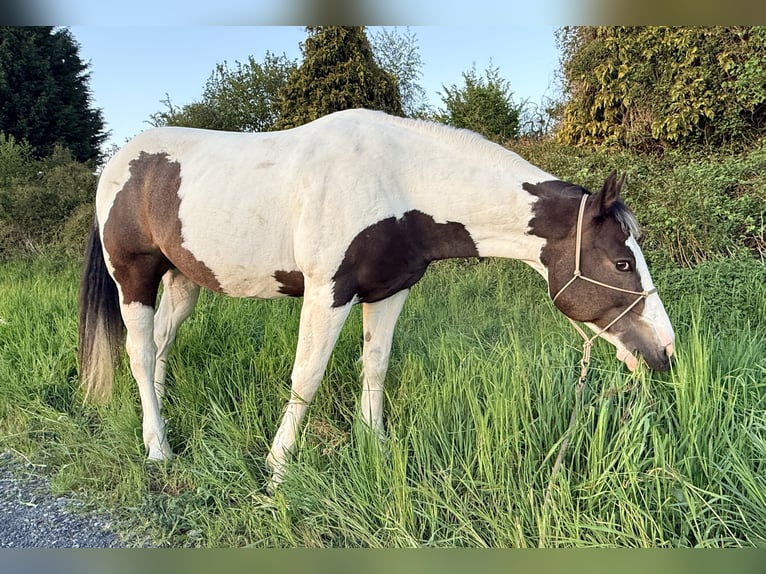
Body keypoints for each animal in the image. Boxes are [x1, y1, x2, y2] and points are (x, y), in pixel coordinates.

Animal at [78, 109, 675, 488]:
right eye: (622, 263)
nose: (665, 352)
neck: (398, 179)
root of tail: (119, 163)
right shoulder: (328, 291)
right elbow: (307, 377)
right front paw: (278, 468)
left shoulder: (389, 291)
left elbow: (376, 366)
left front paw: (375, 449)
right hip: (134, 276)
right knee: (138, 352)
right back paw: (158, 448)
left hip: (182, 281)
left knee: (160, 345)